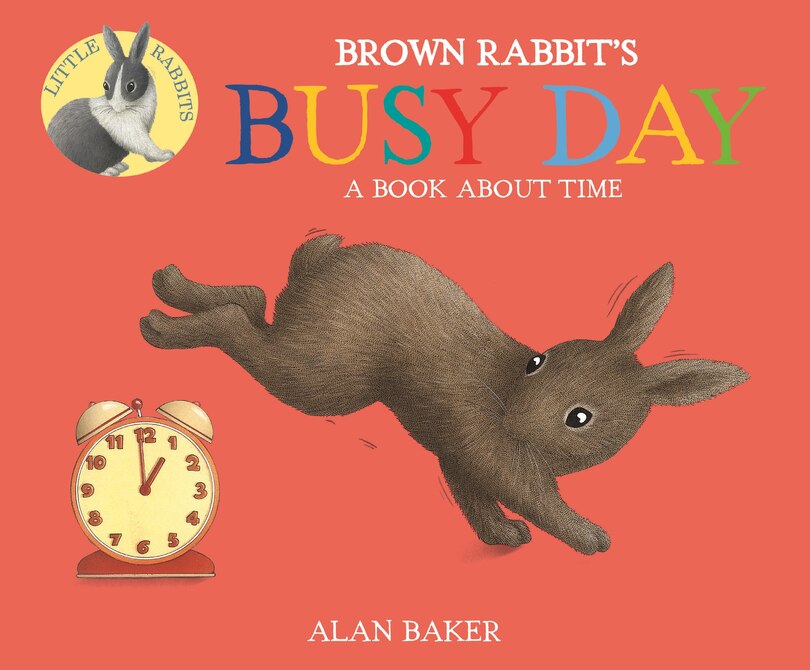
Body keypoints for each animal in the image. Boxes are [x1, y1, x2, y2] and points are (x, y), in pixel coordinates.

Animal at [47, 22, 174, 176]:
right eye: (105, 85)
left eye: (131, 86)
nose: (117, 108)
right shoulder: (131, 130)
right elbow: (145, 145)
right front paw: (165, 154)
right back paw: (110, 171)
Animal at [139, 235, 749, 554]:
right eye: (538, 362)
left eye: (581, 417)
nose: (514, 417)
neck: (507, 395)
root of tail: (323, 263)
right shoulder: (499, 458)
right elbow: (537, 499)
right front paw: (591, 538)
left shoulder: (462, 458)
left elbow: (476, 499)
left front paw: (505, 536)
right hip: (327, 375)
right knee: (240, 323)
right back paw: (160, 324)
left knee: (252, 301)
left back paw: (169, 286)